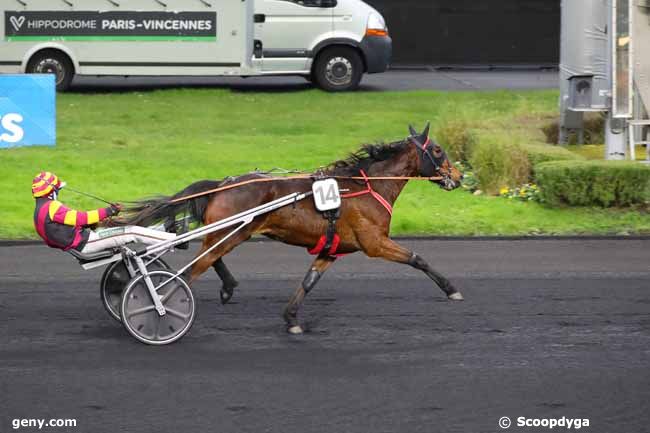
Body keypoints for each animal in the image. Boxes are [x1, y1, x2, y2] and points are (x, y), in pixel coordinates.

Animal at [120, 123, 460, 332]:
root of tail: (222, 184)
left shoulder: (332, 249)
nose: (458, 176)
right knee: (193, 270)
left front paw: (291, 318)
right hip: (232, 232)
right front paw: (451, 289)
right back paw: (162, 306)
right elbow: (417, 258)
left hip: (228, 232)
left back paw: (228, 286)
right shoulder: (374, 243)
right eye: (438, 150)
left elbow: (308, 282)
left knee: (211, 259)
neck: (367, 187)